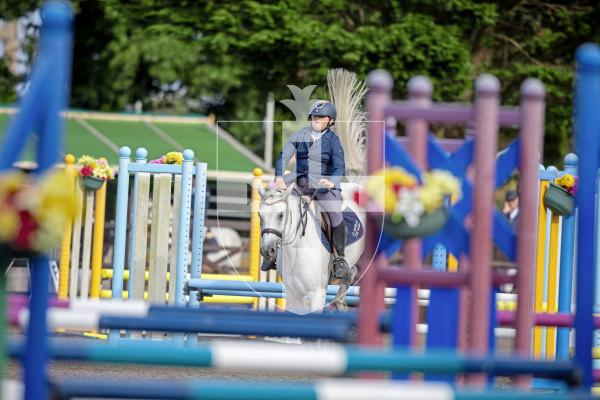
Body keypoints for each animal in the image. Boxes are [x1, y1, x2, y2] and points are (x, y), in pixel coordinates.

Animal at [258, 183, 364, 314]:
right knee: (353, 270)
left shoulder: (317, 294)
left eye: (281, 215)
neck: (296, 250)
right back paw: (341, 302)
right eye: (260, 215)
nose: (267, 250)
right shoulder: (293, 294)